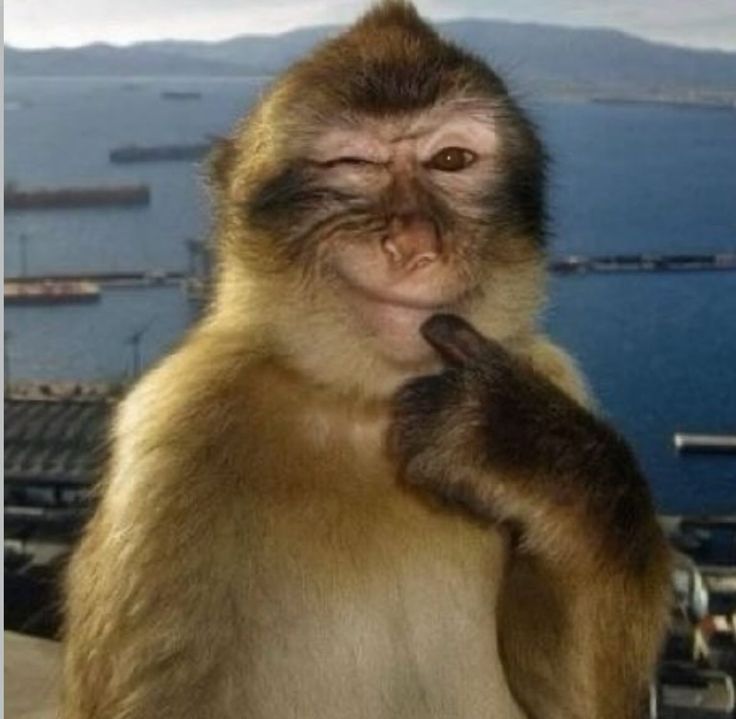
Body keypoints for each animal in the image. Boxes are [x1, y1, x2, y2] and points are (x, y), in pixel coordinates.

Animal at [61, 2, 672, 718]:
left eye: (452, 160)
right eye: (352, 162)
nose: (413, 242)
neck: (366, 401)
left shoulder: (549, 372)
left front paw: (520, 446)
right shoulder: (176, 432)